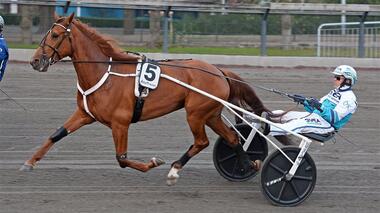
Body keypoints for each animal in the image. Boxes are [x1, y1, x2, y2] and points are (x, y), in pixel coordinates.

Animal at [23, 13, 268, 184]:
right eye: (47, 34)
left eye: (55, 35)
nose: (35, 61)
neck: (105, 73)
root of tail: (218, 71)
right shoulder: (84, 114)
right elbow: (56, 135)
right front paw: (29, 162)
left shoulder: (120, 123)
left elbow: (122, 159)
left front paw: (153, 162)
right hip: (211, 115)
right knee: (232, 138)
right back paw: (247, 165)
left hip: (196, 114)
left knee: (202, 142)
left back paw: (174, 169)